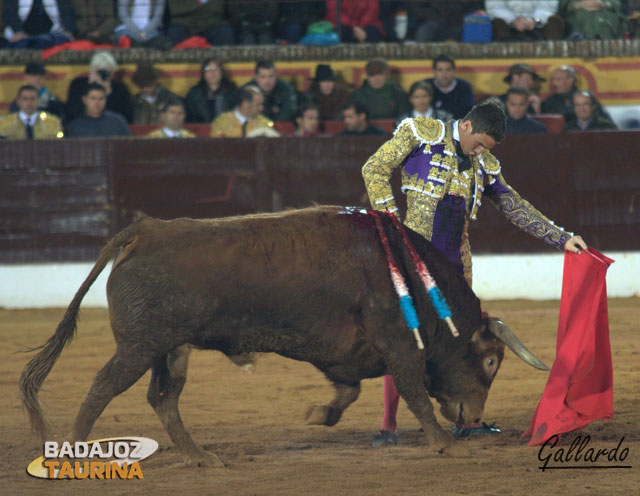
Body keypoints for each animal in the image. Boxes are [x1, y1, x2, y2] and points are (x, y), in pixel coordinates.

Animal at [21, 205, 552, 464]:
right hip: (140, 345)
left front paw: (318, 414)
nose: (475, 419)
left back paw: (200, 457)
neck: (411, 276)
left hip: (171, 350)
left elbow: (348, 391)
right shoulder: (398, 342)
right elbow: (414, 391)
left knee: (164, 398)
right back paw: (73, 451)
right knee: (104, 386)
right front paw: (446, 444)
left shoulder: (344, 351)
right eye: (490, 361)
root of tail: (146, 231)